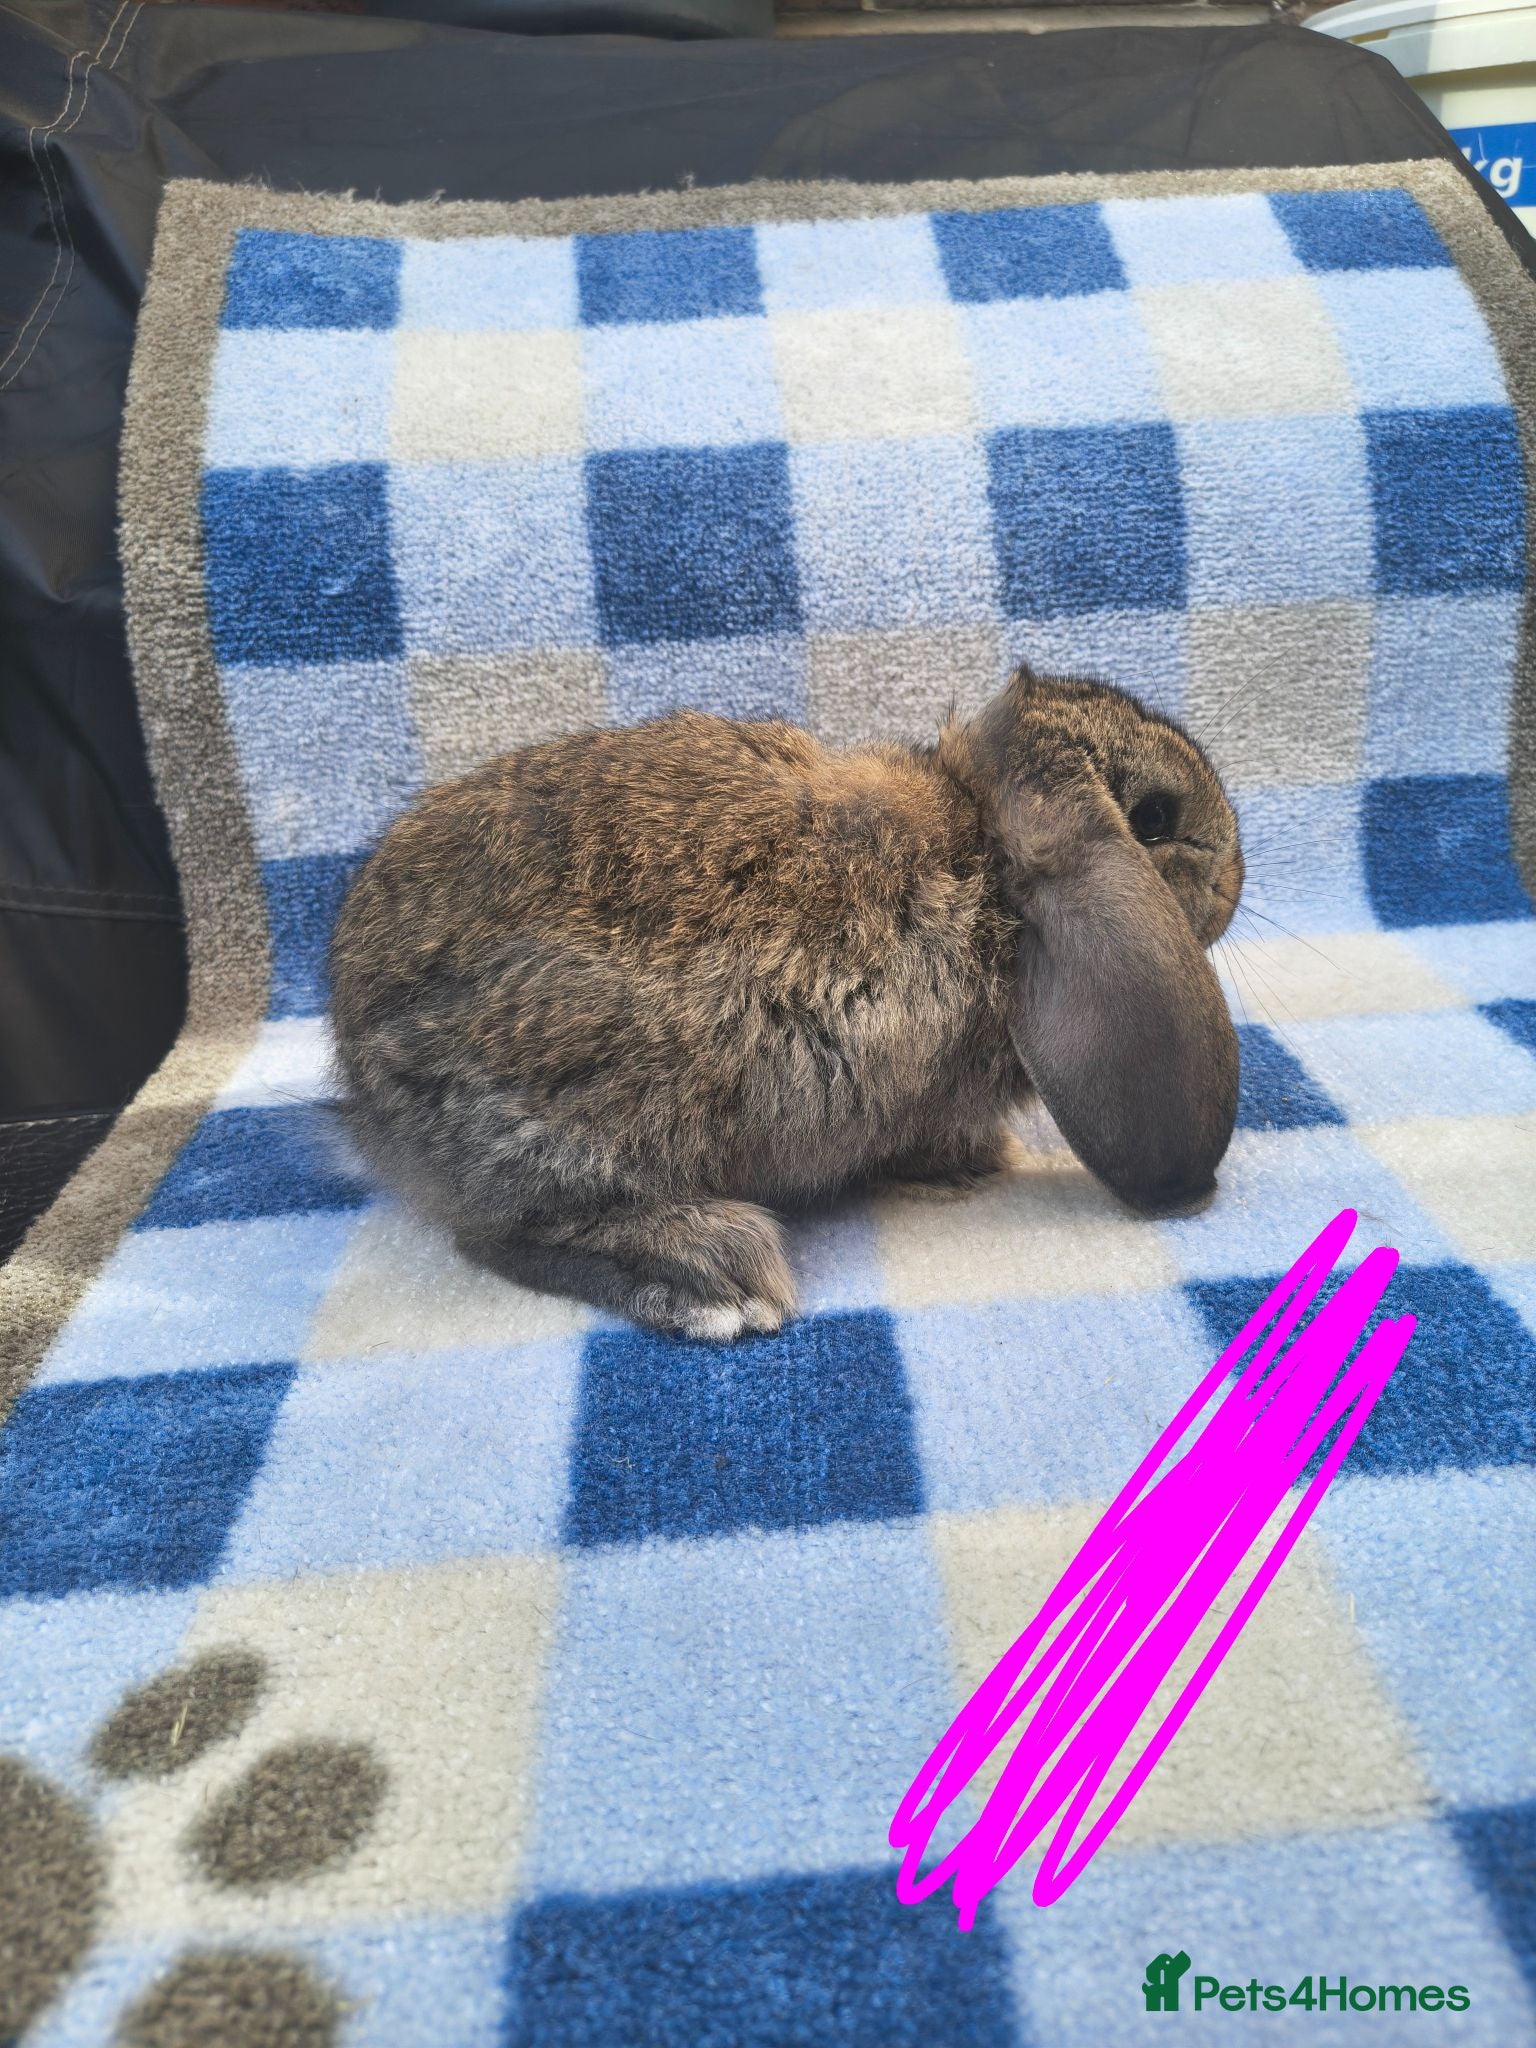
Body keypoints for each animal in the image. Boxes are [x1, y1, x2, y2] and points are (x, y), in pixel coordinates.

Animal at [328, 663, 1243, 1340]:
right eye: (1153, 818)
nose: (1237, 881)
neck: (979, 850)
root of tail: (365, 1091)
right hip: (579, 1108)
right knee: (503, 1233)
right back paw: (714, 1277)